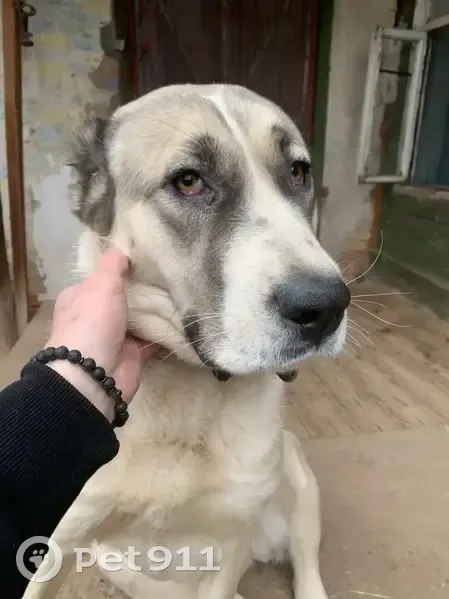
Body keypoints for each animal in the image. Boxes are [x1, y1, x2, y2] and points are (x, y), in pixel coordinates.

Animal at [23, 83, 350, 599]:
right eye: (189, 181)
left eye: (298, 172)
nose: (326, 307)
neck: (189, 391)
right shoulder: (56, 545)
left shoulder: (230, 542)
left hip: (298, 479)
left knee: (307, 565)